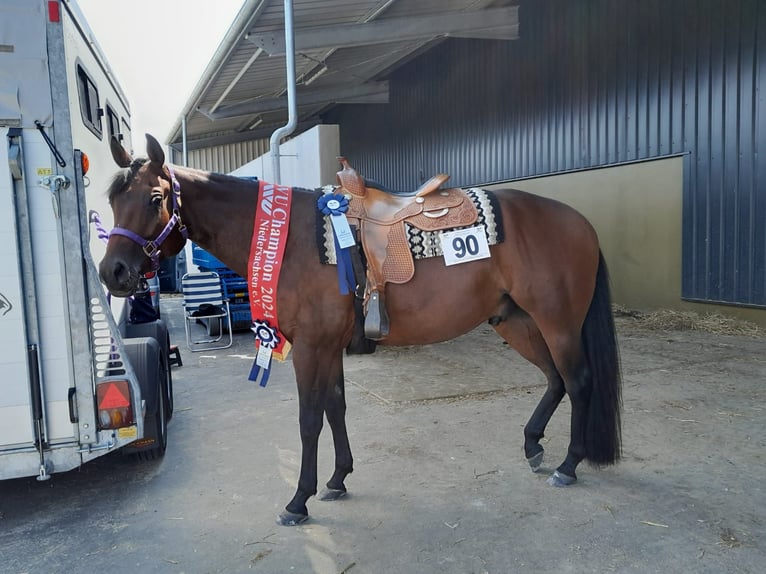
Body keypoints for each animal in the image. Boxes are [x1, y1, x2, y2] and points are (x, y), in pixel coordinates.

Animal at [99, 134, 622, 526]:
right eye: (112, 199)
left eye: (154, 198)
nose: (113, 273)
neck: (292, 240)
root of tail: (580, 223)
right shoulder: (329, 347)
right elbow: (336, 409)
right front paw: (337, 479)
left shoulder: (311, 348)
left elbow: (310, 419)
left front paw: (299, 500)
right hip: (516, 322)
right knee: (554, 380)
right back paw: (534, 444)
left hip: (558, 323)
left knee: (578, 381)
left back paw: (569, 465)